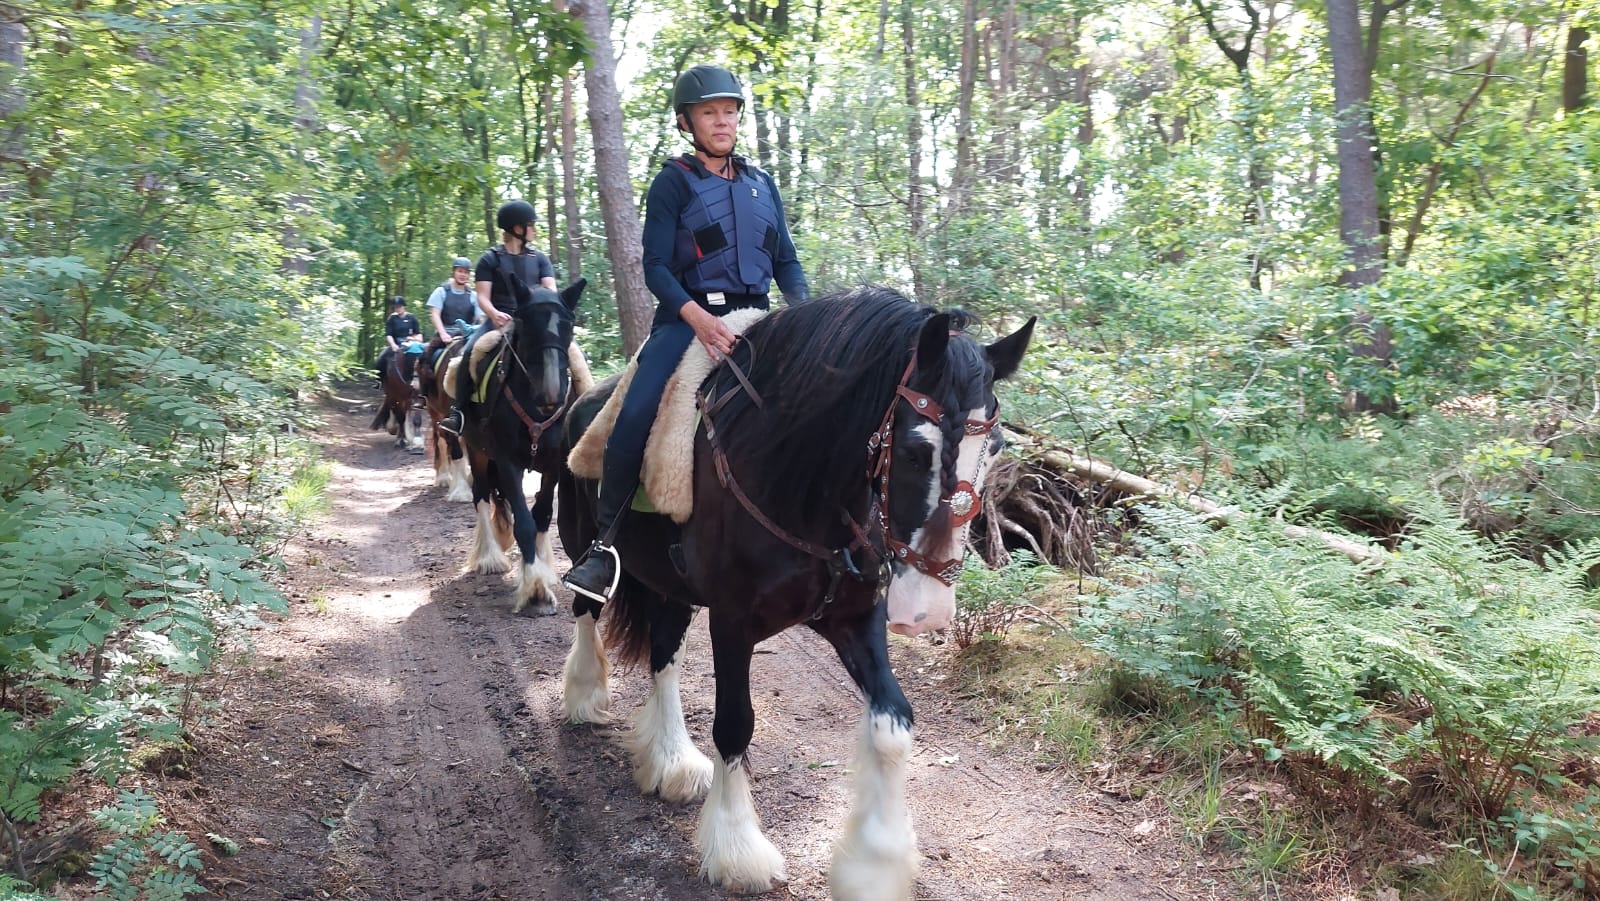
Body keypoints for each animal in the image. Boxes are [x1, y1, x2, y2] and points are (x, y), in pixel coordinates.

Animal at [459, 278, 587, 615]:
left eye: (568, 325)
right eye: (527, 325)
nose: (550, 396)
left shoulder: (554, 464)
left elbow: (541, 515)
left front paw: (543, 570)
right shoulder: (507, 463)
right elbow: (525, 523)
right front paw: (535, 589)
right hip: (476, 451)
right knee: (480, 495)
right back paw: (489, 558)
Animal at [556, 287, 1034, 896]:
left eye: (993, 447)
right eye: (914, 451)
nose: (926, 612)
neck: (802, 485)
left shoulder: (855, 620)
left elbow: (893, 723)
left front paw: (874, 868)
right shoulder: (732, 622)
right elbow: (735, 724)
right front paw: (737, 851)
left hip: (672, 586)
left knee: (664, 654)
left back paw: (673, 763)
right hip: (581, 542)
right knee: (586, 609)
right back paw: (585, 697)